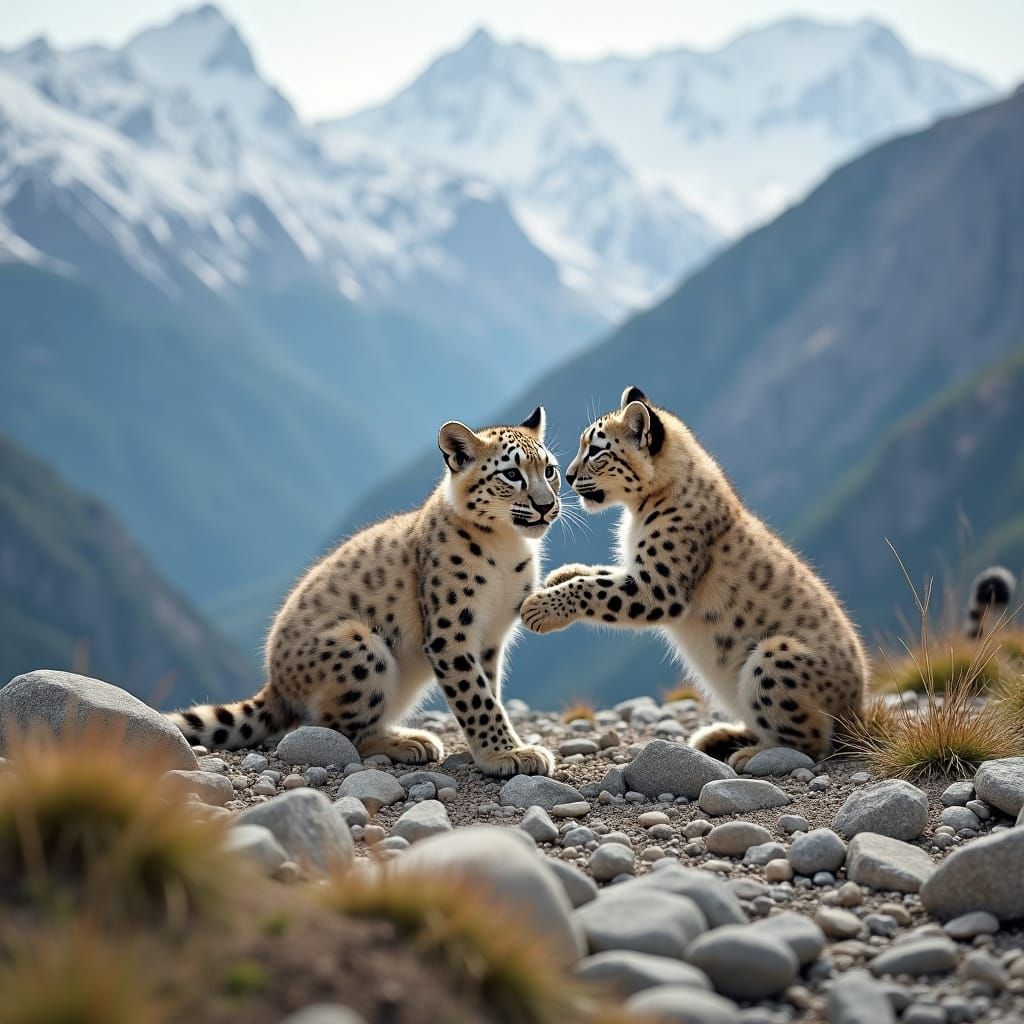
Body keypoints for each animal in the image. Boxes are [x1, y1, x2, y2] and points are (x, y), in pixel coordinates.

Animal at [167, 407, 559, 778]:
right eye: (511, 473)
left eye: (549, 470)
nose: (546, 505)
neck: (509, 548)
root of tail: (275, 683)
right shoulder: (452, 631)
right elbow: (475, 696)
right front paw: (506, 754)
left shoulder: (492, 636)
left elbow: (488, 688)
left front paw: (503, 748)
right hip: (360, 647)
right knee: (339, 730)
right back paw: (407, 741)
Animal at [521, 386, 868, 770]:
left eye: (595, 450)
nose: (566, 476)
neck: (637, 514)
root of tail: (856, 709)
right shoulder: (636, 569)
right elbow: (599, 574)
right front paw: (560, 574)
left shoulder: (658, 586)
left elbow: (595, 588)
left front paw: (540, 608)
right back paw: (718, 736)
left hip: (775, 656)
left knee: (811, 742)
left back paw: (749, 754)